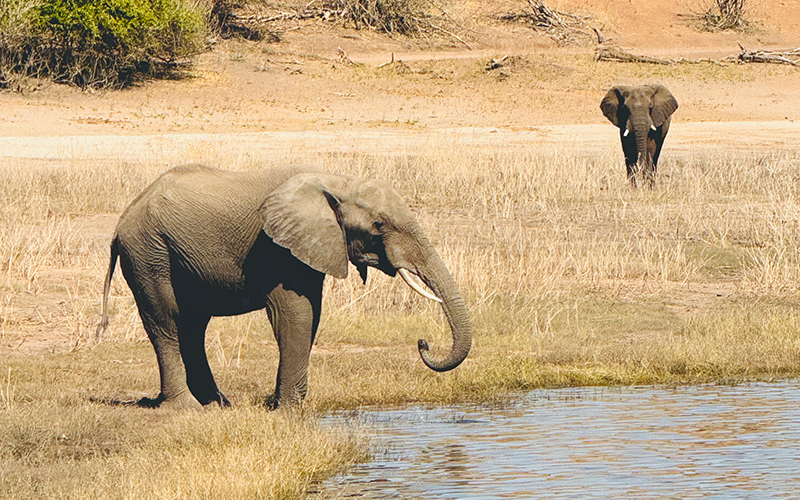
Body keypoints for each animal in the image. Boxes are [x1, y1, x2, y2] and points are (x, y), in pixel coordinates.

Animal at [96, 164, 472, 410]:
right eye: (379, 224)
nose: (423, 341)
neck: (337, 181)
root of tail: (123, 219)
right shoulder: (277, 248)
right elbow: (296, 314)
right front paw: (290, 409)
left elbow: (312, 315)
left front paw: (291, 403)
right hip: (149, 253)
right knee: (167, 322)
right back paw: (186, 407)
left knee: (192, 326)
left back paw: (218, 404)